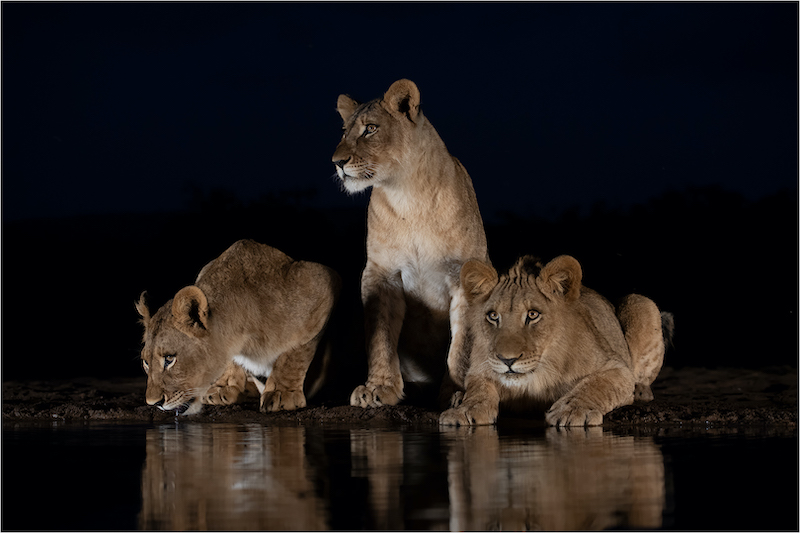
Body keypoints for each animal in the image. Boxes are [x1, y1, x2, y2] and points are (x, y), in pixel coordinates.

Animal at [135, 239, 340, 415]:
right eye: (146, 362)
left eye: (169, 359)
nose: (154, 403)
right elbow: (232, 361)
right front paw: (225, 387)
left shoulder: (322, 283)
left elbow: (295, 353)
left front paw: (283, 393)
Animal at [332, 79, 489, 408]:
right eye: (344, 131)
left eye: (370, 129)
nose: (337, 162)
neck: (408, 193)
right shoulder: (381, 272)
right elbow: (380, 336)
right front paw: (378, 388)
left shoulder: (466, 275)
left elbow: (464, 343)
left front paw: (457, 393)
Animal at [439, 255, 674, 427]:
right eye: (493, 316)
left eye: (533, 315)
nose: (508, 360)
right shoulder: (479, 368)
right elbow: (478, 389)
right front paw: (464, 410)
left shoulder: (616, 367)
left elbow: (594, 386)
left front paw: (572, 410)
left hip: (640, 302)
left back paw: (641, 391)